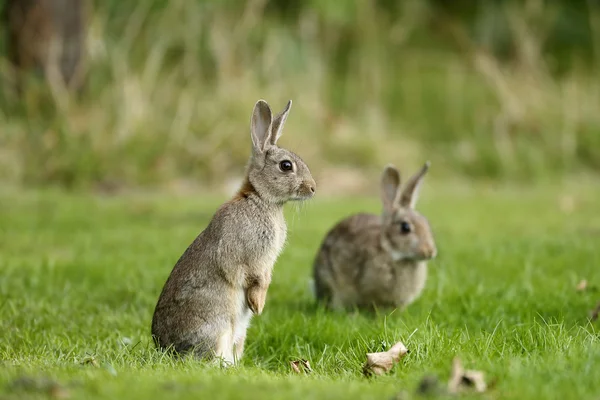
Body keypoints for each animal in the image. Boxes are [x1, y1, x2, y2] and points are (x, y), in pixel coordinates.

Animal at [152, 98, 316, 364]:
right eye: (286, 166)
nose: (313, 188)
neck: (260, 198)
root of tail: (165, 349)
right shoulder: (248, 257)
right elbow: (254, 278)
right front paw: (258, 305)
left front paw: (257, 306)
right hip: (217, 327)